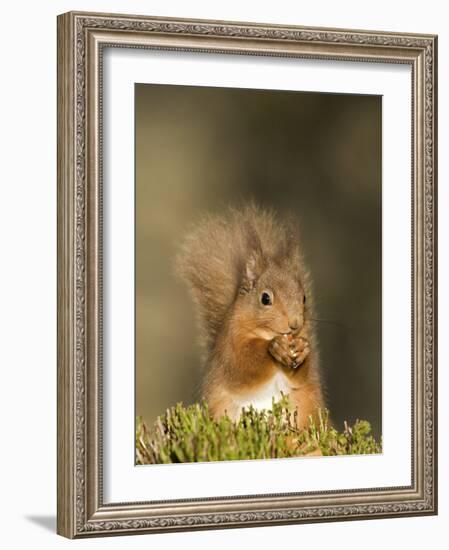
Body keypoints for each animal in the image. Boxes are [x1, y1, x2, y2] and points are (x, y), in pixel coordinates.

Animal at [176, 205, 326, 430]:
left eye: (304, 298)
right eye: (265, 298)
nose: (295, 324)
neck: (265, 333)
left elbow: (302, 377)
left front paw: (301, 349)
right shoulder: (230, 349)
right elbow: (244, 366)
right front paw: (274, 347)